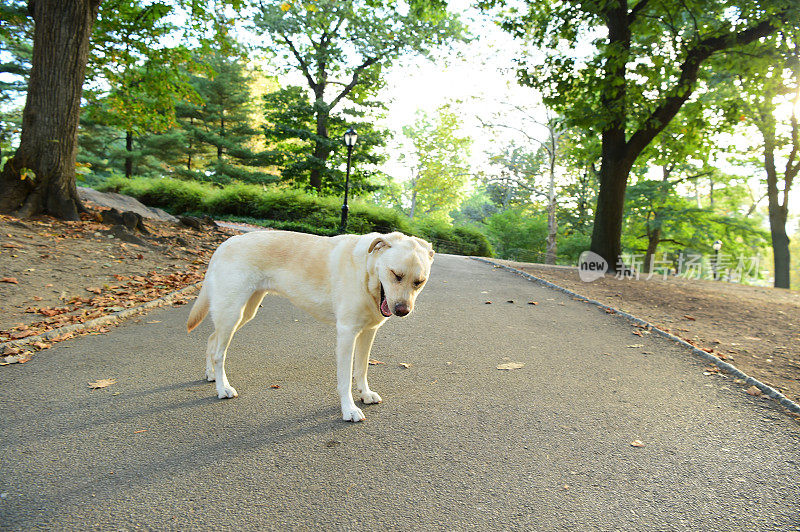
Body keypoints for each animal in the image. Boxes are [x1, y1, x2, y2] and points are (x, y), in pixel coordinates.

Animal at [185, 231, 434, 422]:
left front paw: (364, 393)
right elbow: (345, 378)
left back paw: (210, 375)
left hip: (245, 312)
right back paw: (222, 387)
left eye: (418, 282)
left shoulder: (368, 332)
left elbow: (361, 369)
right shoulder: (347, 334)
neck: (366, 272)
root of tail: (225, 243)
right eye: (396, 275)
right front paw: (349, 409)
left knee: (212, 339)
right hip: (232, 312)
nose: (402, 310)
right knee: (219, 353)